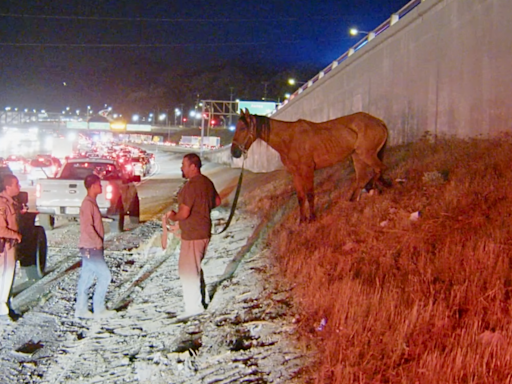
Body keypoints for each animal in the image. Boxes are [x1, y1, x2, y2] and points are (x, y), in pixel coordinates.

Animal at [232, 108, 388, 222]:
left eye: (243, 128)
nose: (234, 152)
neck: (289, 139)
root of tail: (379, 122)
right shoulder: (295, 173)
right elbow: (301, 197)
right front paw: (302, 220)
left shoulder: (307, 169)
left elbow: (310, 194)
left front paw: (312, 218)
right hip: (357, 156)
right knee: (362, 177)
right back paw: (354, 199)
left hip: (366, 154)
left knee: (379, 169)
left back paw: (371, 187)